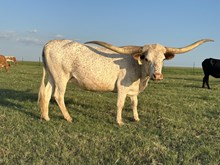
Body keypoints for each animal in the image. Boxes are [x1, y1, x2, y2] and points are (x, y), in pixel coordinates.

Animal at [37, 38, 213, 125]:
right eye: (146, 58)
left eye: (163, 59)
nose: (157, 76)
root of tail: (49, 43)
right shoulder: (122, 87)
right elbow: (120, 104)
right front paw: (120, 121)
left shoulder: (133, 90)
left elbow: (134, 103)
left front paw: (136, 118)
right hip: (62, 77)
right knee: (58, 96)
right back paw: (68, 118)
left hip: (52, 76)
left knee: (46, 93)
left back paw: (46, 117)